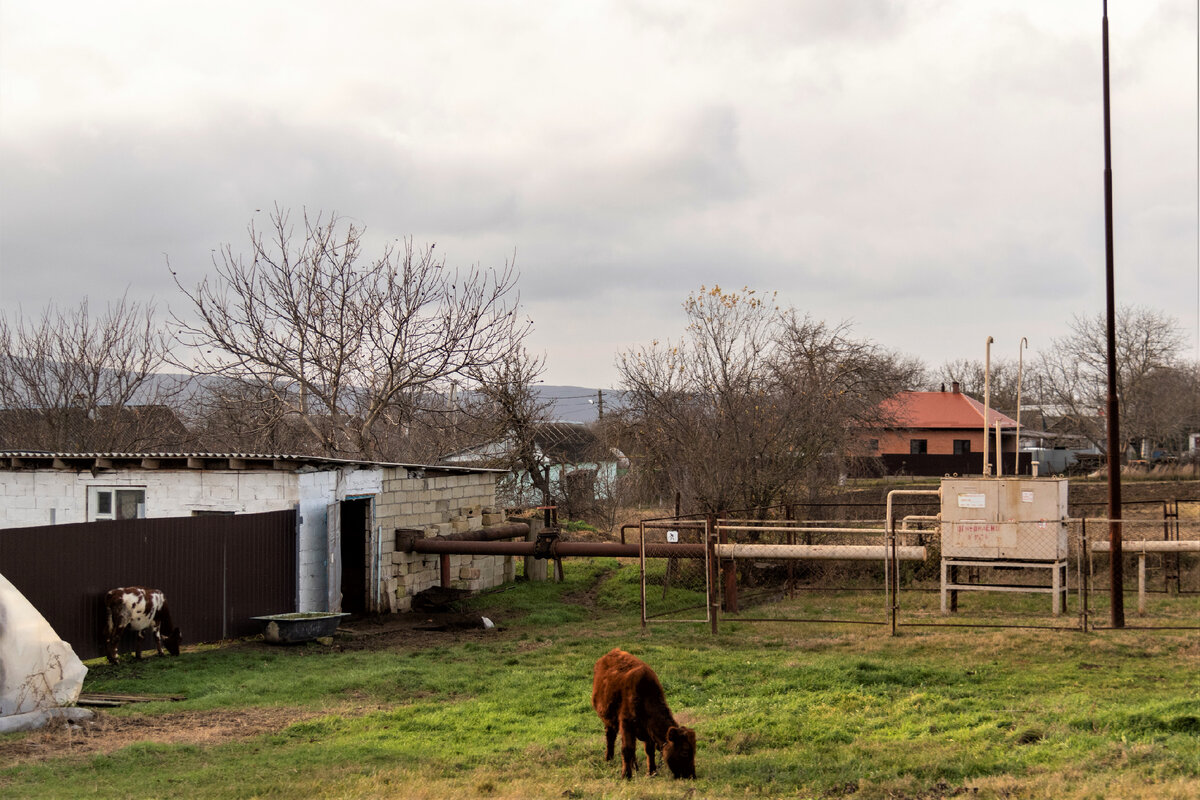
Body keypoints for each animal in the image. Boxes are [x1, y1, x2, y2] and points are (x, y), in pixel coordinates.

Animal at [590, 647, 696, 777]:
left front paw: (652, 772)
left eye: (694, 751)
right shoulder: (626, 724)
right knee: (610, 737)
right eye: (685, 752)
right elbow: (627, 749)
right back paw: (609, 760)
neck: (646, 695)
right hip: (608, 720)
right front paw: (626, 775)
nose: (691, 776)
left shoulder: (647, 730)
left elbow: (649, 750)